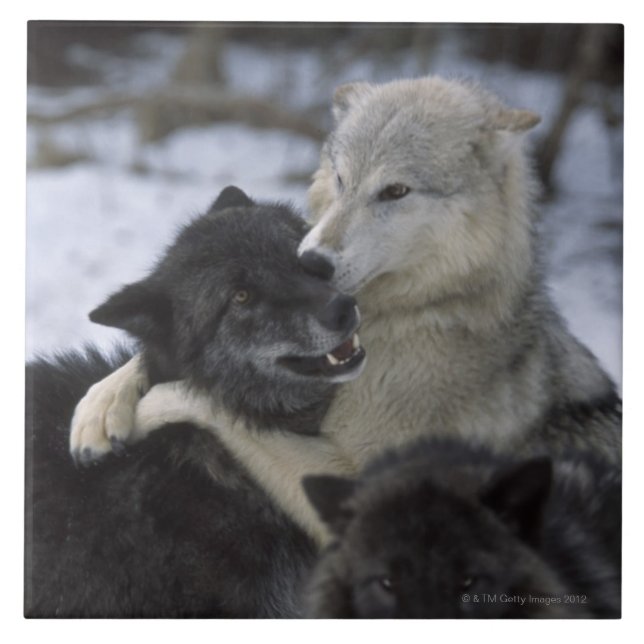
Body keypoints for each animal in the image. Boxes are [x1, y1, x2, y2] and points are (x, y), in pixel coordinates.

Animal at [69, 76, 620, 541]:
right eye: (340, 179)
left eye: (395, 191)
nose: (311, 261)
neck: (419, 312)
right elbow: (144, 361)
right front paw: (99, 408)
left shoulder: (356, 482)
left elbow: (210, 402)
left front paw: (147, 407)